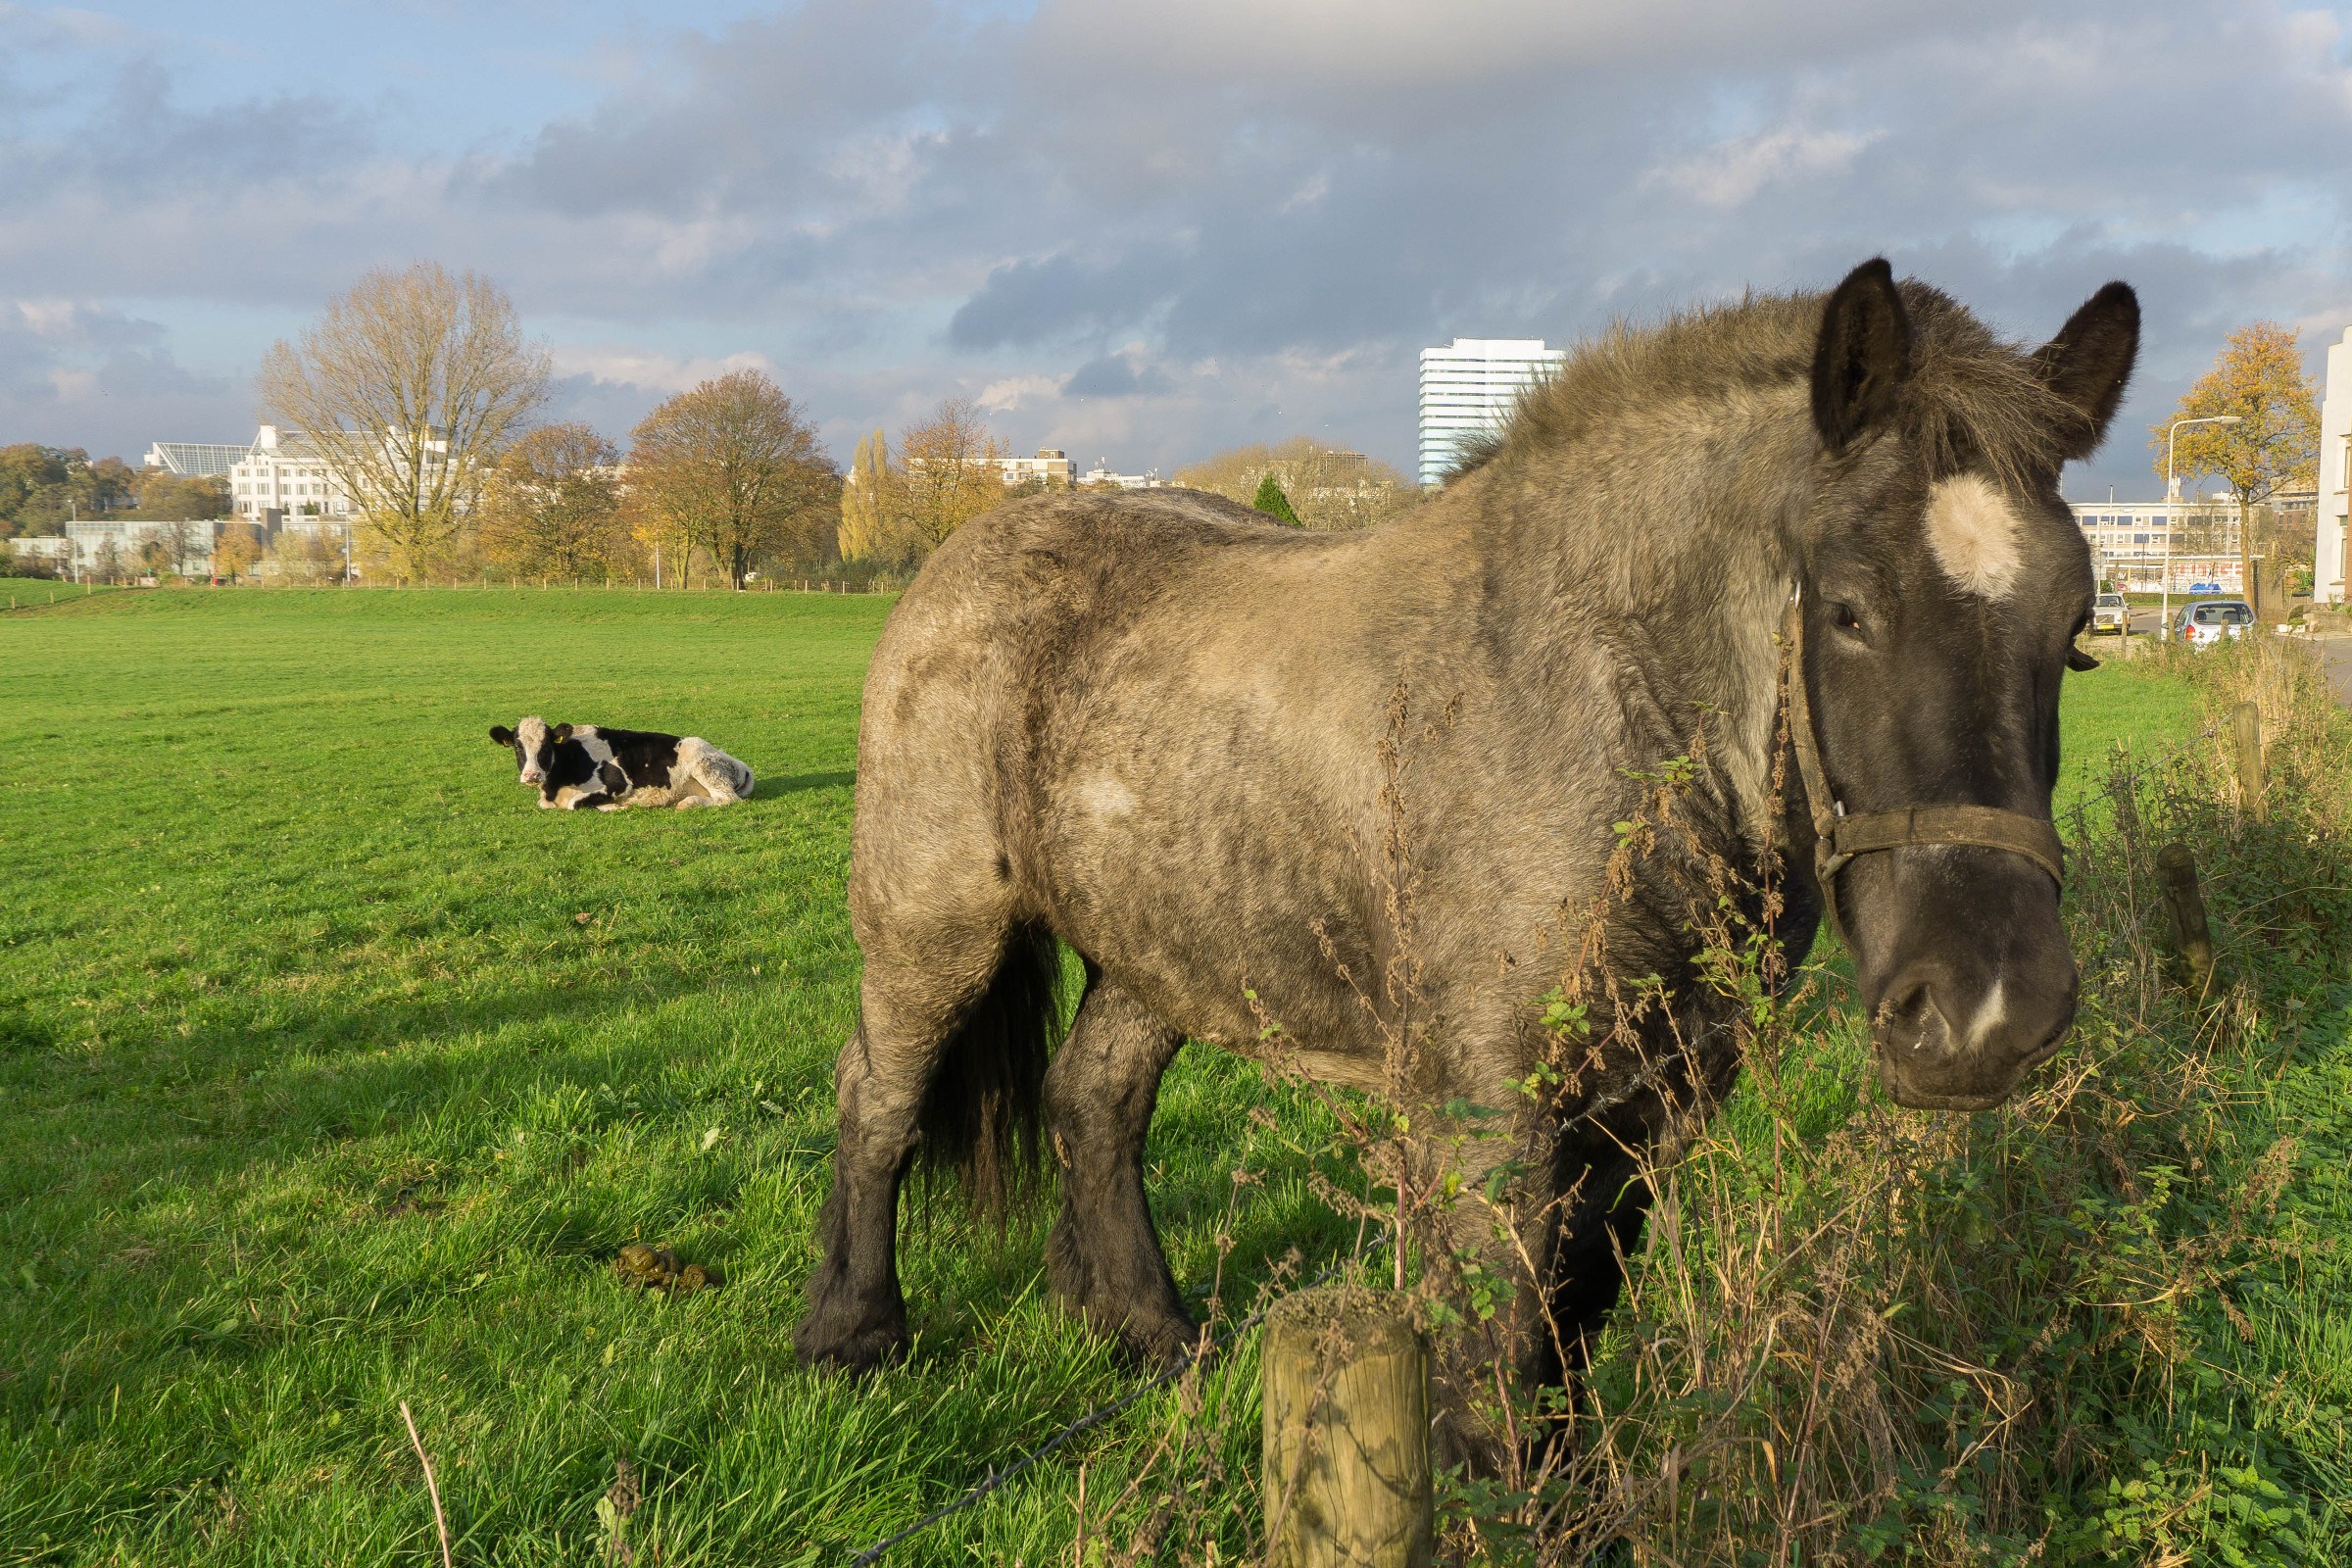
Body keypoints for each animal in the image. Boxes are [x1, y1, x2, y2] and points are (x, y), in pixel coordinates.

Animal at [486, 710, 753, 808]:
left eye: (546, 746)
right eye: (517, 747)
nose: (531, 775)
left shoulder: (617, 785)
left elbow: (575, 804)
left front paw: (617, 806)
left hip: (703, 766)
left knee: (727, 799)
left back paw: (687, 803)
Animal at [790, 261, 2135, 1447]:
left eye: (2077, 627)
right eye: (1849, 607)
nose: (1987, 1012)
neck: (1594, 702)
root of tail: (963, 553)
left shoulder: (1646, 1118)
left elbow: (1567, 1370)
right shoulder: (1490, 1130)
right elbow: (1489, 1393)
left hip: (1165, 944)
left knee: (1094, 1102)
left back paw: (1147, 1330)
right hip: (934, 930)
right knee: (879, 1098)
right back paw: (852, 1334)